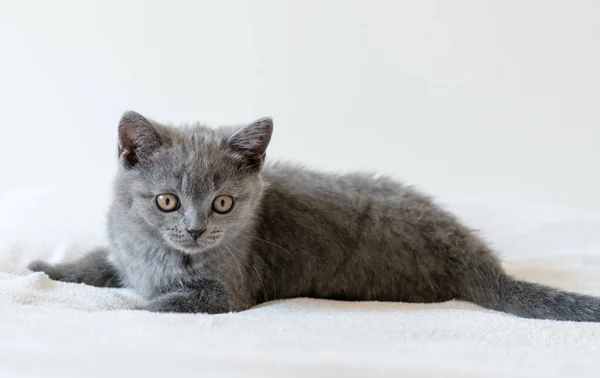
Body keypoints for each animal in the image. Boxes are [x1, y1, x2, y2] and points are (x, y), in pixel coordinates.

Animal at [29, 110, 600, 320]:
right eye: (166, 200)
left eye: (222, 203)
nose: (195, 229)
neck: (155, 252)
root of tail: (475, 258)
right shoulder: (123, 250)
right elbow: (96, 263)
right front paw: (42, 269)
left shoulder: (224, 294)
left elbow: (155, 305)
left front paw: (108, 310)